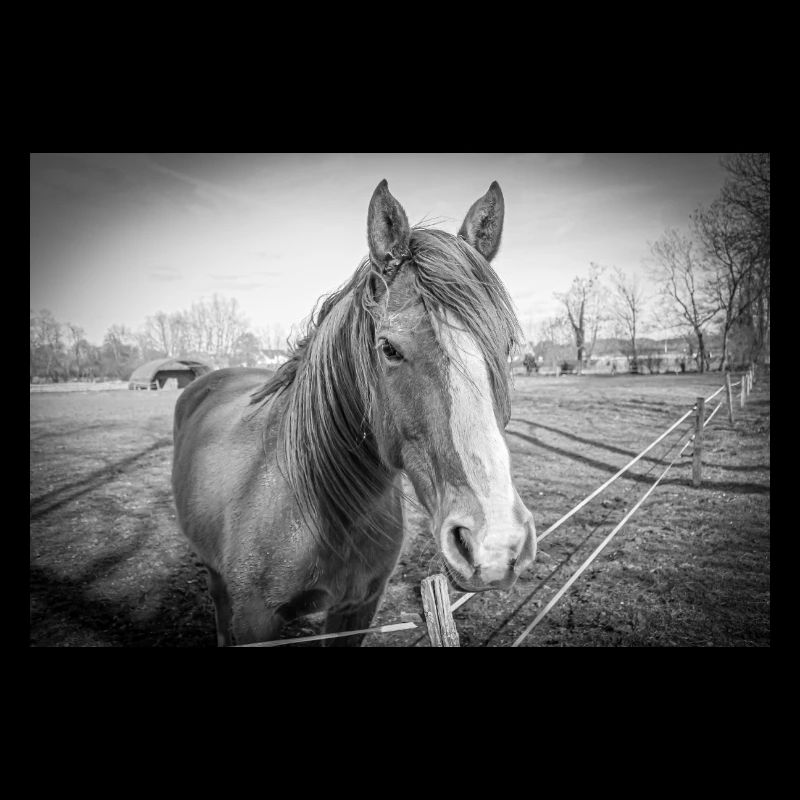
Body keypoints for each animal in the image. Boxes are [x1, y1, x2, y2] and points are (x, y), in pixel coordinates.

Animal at [171, 179, 537, 646]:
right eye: (389, 348)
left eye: (506, 345)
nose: (494, 545)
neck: (318, 504)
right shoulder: (256, 617)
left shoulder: (357, 608)